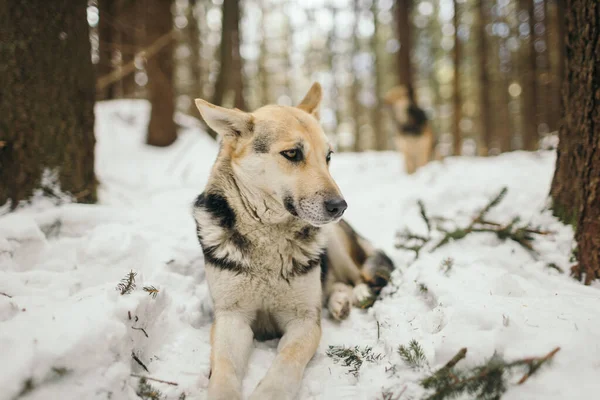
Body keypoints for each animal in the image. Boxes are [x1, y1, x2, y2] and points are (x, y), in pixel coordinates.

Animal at [192, 82, 396, 400]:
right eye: (292, 154)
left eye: (328, 157)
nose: (340, 206)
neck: (268, 235)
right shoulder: (232, 318)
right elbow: (224, 368)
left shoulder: (303, 321)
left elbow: (286, 363)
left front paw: (268, 393)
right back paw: (339, 301)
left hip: (335, 243)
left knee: (359, 276)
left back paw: (356, 294)